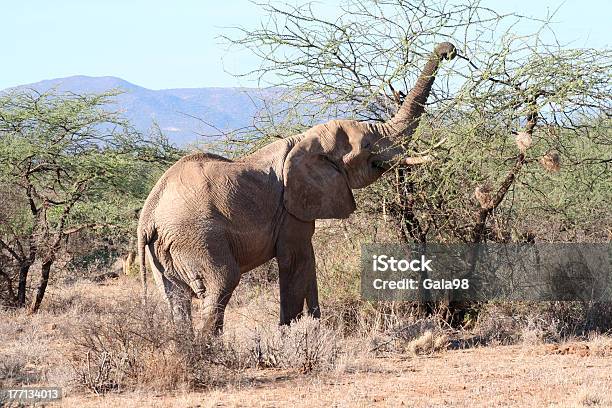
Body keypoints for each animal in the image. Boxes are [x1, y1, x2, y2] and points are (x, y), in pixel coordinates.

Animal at [137, 42, 454, 334]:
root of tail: (148, 218)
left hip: (164, 251)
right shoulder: (290, 212)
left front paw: (316, 326)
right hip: (196, 237)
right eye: (366, 146)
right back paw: (211, 350)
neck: (305, 140)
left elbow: (308, 261)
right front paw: (290, 332)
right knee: (221, 283)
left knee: (175, 298)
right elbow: (294, 261)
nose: (449, 50)